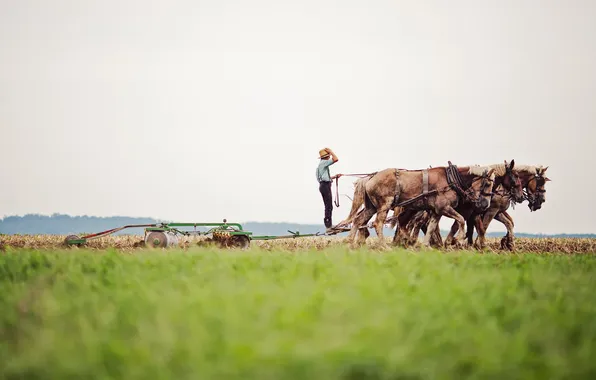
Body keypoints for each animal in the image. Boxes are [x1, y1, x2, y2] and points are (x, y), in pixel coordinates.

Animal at [342, 163, 496, 249]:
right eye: (488, 183)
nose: (485, 204)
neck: (450, 180)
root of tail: (371, 177)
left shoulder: (437, 211)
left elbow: (431, 228)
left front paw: (426, 246)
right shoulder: (444, 207)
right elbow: (461, 219)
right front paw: (459, 239)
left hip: (371, 207)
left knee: (358, 220)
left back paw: (349, 242)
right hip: (384, 206)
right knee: (377, 223)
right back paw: (384, 245)